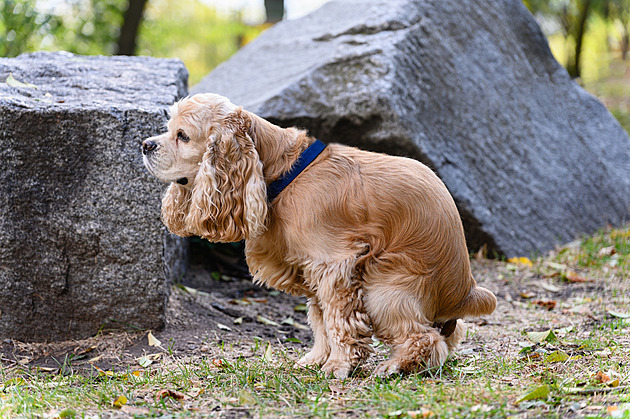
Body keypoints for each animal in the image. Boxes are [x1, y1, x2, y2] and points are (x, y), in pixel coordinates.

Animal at [143, 93, 498, 378]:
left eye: (182, 136)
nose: (145, 145)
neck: (280, 171)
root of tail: (465, 291)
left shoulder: (335, 264)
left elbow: (339, 321)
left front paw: (339, 365)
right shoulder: (312, 268)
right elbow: (321, 319)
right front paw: (316, 358)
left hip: (384, 287)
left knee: (426, 339)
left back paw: (395, 366)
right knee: (449, 336)